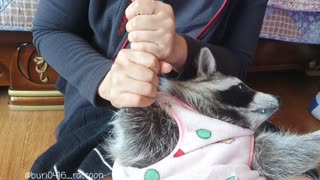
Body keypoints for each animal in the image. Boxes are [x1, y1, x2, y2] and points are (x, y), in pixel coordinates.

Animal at [106, 47, 320, 179]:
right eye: (241, 87)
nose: (279, 99)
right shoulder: (153, 151)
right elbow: (136, 142)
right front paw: (138, 93)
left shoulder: (252, 153)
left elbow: (281, 156)